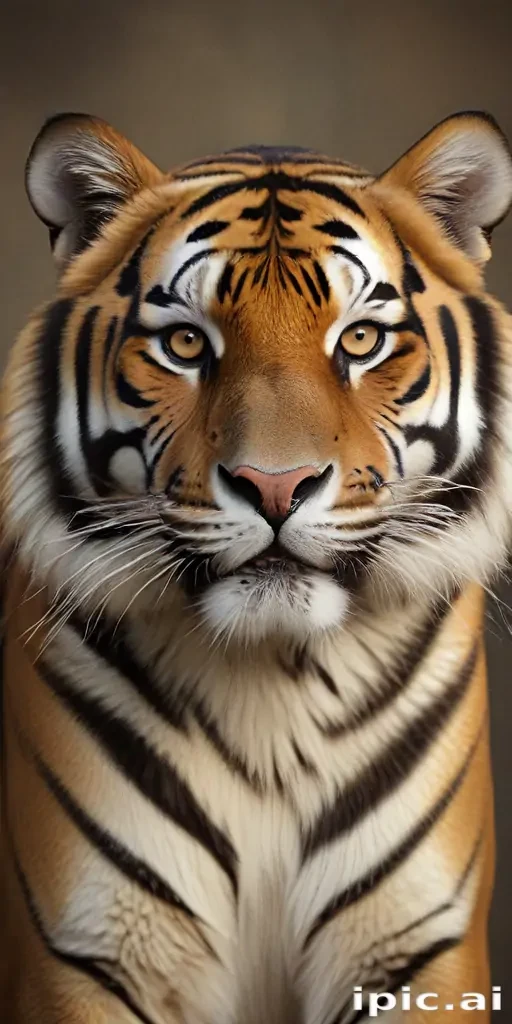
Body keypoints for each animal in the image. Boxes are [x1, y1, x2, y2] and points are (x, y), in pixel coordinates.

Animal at [1, 108, 512, 1024]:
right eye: (183, 343)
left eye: (361, 339)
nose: (276, 485)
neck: (271, 682)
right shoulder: (85, 952)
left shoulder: (416, 952)